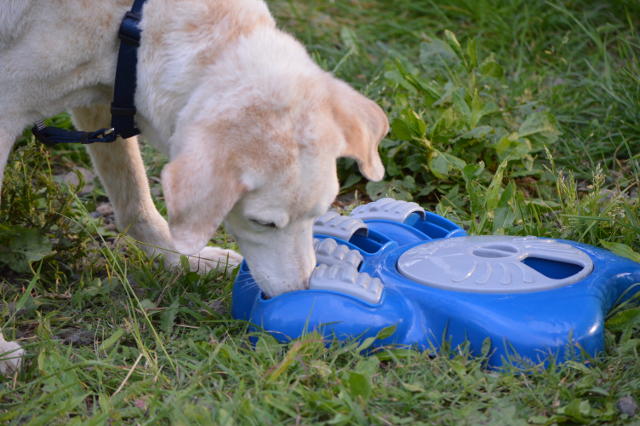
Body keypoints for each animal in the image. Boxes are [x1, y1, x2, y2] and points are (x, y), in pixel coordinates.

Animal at [0, 0, 388, 373]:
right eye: (263, 223)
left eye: (318, 214)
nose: (301, 291)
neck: (136, 21)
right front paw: (2, 352)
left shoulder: (109, 101)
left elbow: (134, 201)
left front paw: (183, 258)